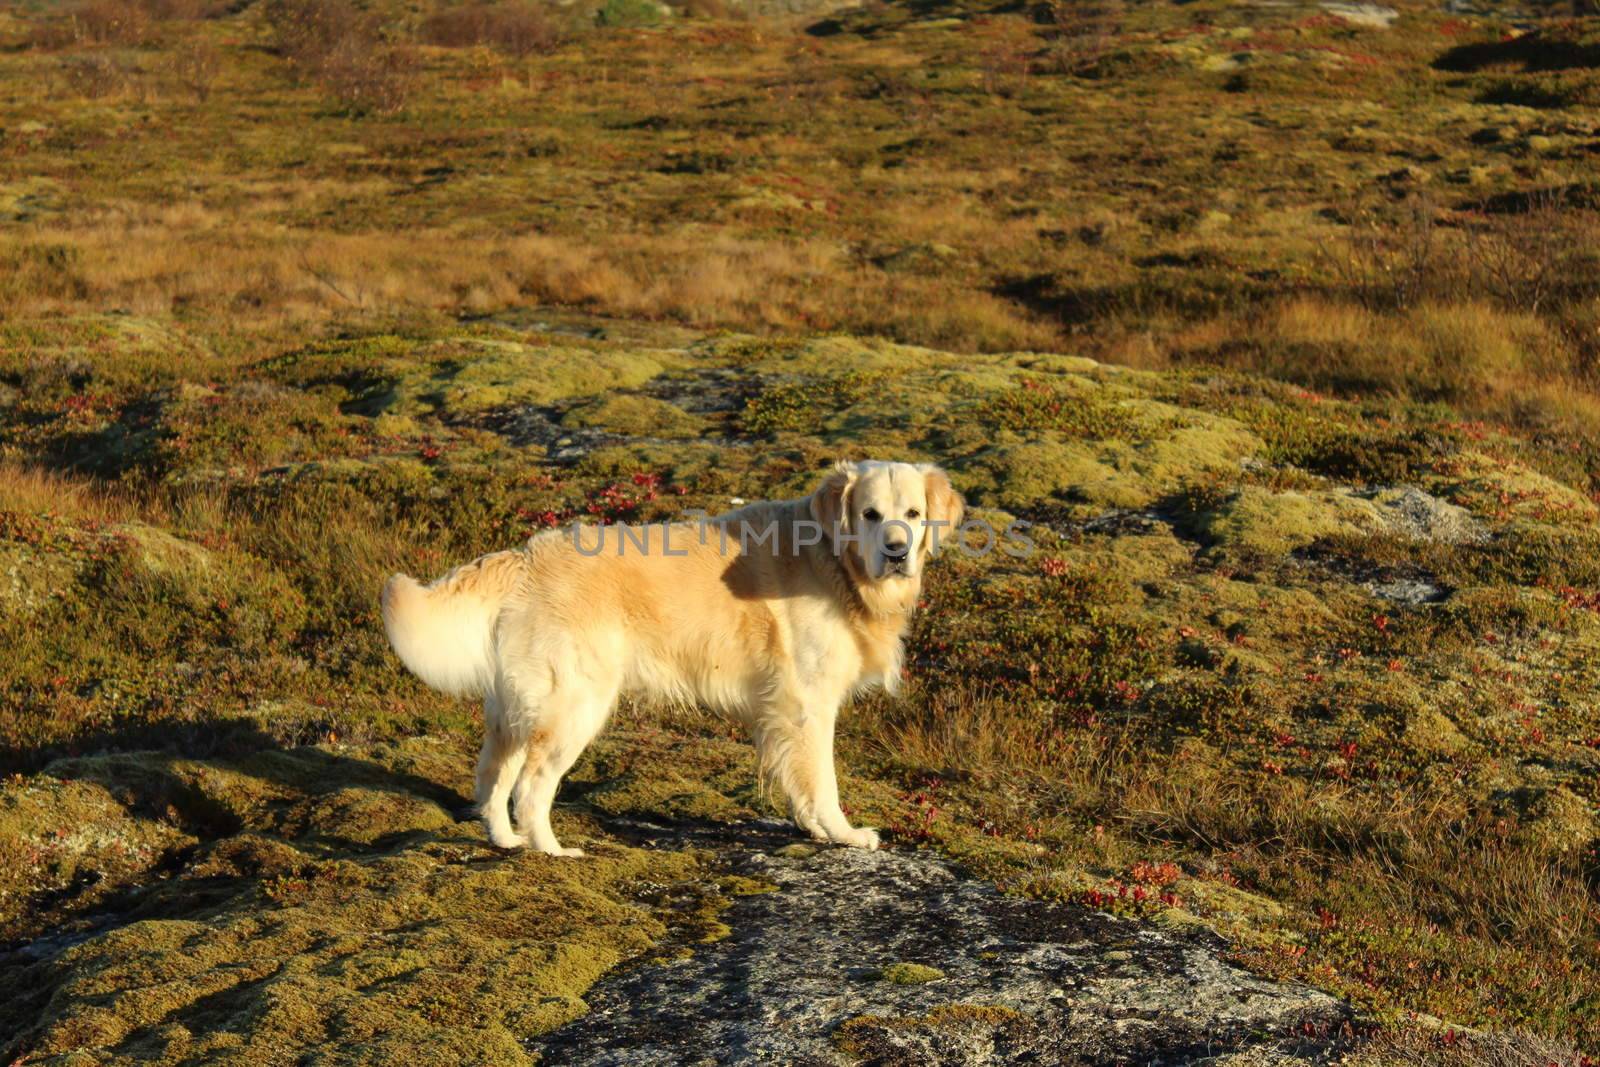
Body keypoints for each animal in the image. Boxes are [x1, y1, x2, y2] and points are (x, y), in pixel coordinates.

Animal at [380, 460, 966, 857]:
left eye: (913, 514)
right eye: (870, 515)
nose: (897, 550)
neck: (834, 561)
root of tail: (525, 558)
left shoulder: (781, 713)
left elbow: (797, 782)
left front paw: (814, 829)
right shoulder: (807, 705)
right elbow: (823, 780)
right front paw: (843, 832)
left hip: (514, 709)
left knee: (492, 776)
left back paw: (506, 841)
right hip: (575, 706)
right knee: (530, 786)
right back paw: (551, 849)